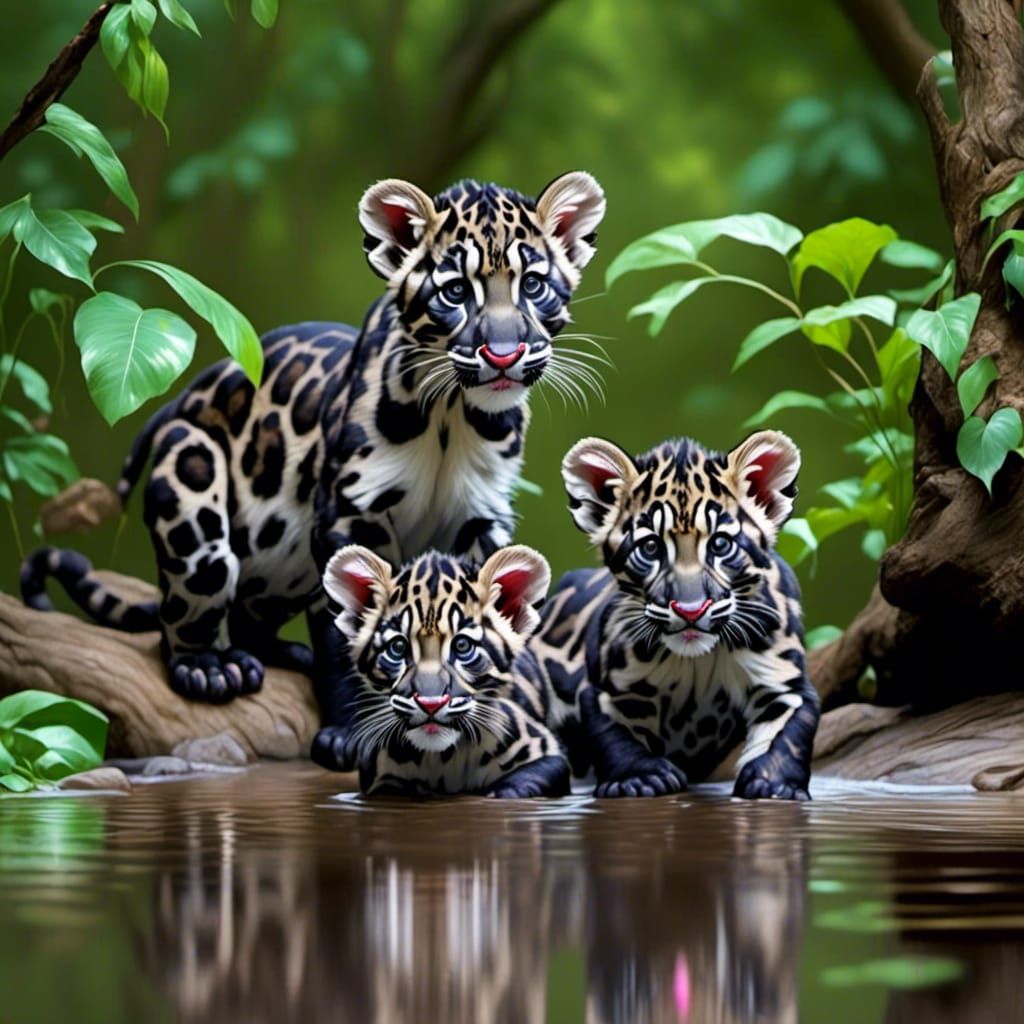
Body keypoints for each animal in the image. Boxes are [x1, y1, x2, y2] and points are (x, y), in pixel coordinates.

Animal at [322, 543, 569, 798]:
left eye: (462, 646)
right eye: (398, 648)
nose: (431, 703)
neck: (444, 758)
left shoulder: (546, 751)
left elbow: (523, 780)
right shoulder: (379, 778)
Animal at [531, 429, 819, 800]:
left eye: (720, 544)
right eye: (651, 547)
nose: (690, 608)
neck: (697, 661)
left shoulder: (784, 681)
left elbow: (787, 734)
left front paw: (774, 785)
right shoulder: (608, 689)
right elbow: (615, 736)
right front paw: (639, 778)